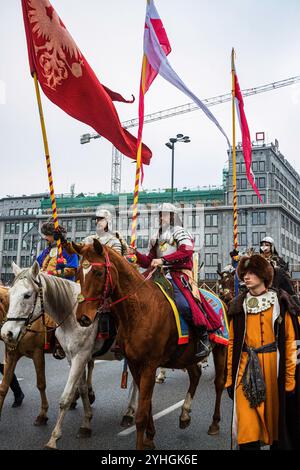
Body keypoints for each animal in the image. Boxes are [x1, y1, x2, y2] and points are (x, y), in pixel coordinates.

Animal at [0, 262, 138, 450]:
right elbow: (81, 388)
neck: (72, 317)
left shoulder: (74, 355)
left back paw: (129, 413)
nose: (7, 333)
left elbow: (60, 394)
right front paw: (86, 423)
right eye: (10, 293)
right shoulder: (71, 357)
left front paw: (53, 437)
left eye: (27, 295)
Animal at [74, 241, 226, 450]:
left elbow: (141, 414)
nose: (82, 317)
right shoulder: (134, 364)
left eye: (98, 272)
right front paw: (150, 438)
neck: (139, 309)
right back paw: (185, 414)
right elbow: (147, 405)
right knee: (195, 374)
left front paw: (142, 441)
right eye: (79, 272)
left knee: (219, 384)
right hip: (187, 356)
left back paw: (215, 423)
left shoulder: (149, 365)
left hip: (221, 349)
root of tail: (219, 298)